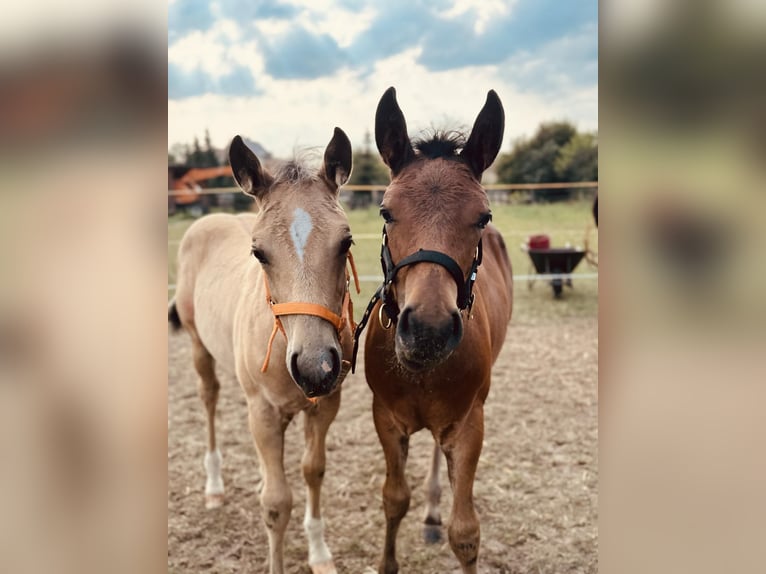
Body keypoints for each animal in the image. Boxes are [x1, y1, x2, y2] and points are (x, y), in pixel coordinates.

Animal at [171, 129, 356, 574]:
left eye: (346, 242)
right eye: (258, 252)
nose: (315, 367)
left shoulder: (325, 406)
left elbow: (313, 471)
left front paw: (320, 554)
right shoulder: (266, 411)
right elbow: (276, 504)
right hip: (199, 346)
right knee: (209, 400)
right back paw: (214, 487)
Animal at [362, 88, 516, 572]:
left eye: (483, 216)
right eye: (386, 211)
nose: (428, 330)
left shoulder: (468, 425)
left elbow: (465, 533)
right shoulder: (386, 418)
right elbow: (394, 499)